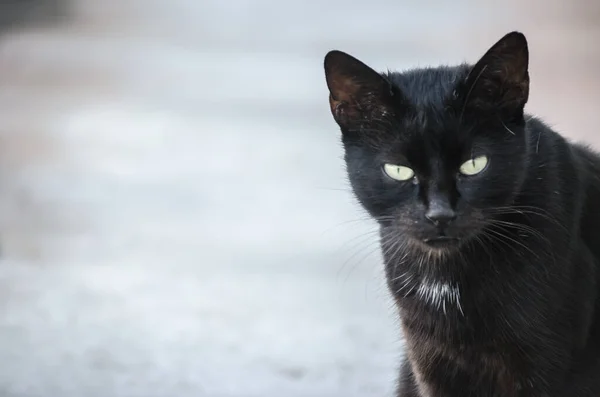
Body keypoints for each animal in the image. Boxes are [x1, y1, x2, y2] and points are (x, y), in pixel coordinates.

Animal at [326, 30, 600, 392]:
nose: (440, 213)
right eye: (399, 171)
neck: (447, 282)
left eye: (474, 165)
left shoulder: (546, 364)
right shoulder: (430, 360)